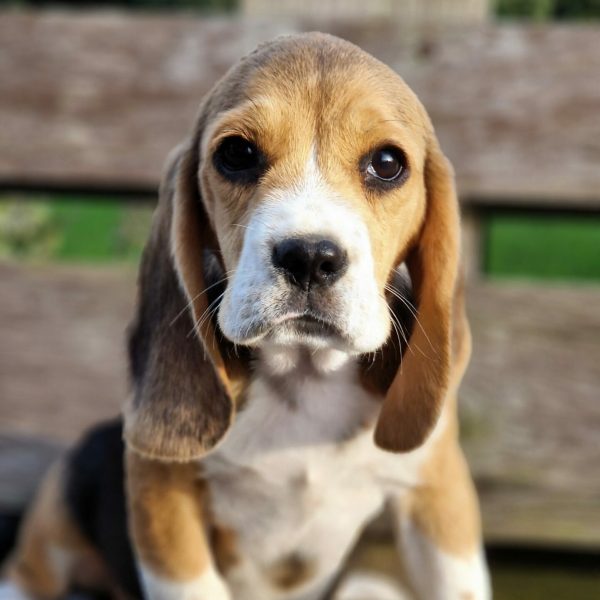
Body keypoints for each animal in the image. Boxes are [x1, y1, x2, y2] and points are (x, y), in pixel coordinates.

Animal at [1, 34, 488, 600]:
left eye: (387, 163)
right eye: (236, 153)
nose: (309, 257)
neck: (303, 378)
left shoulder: (439, 494)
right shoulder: (159, 491)